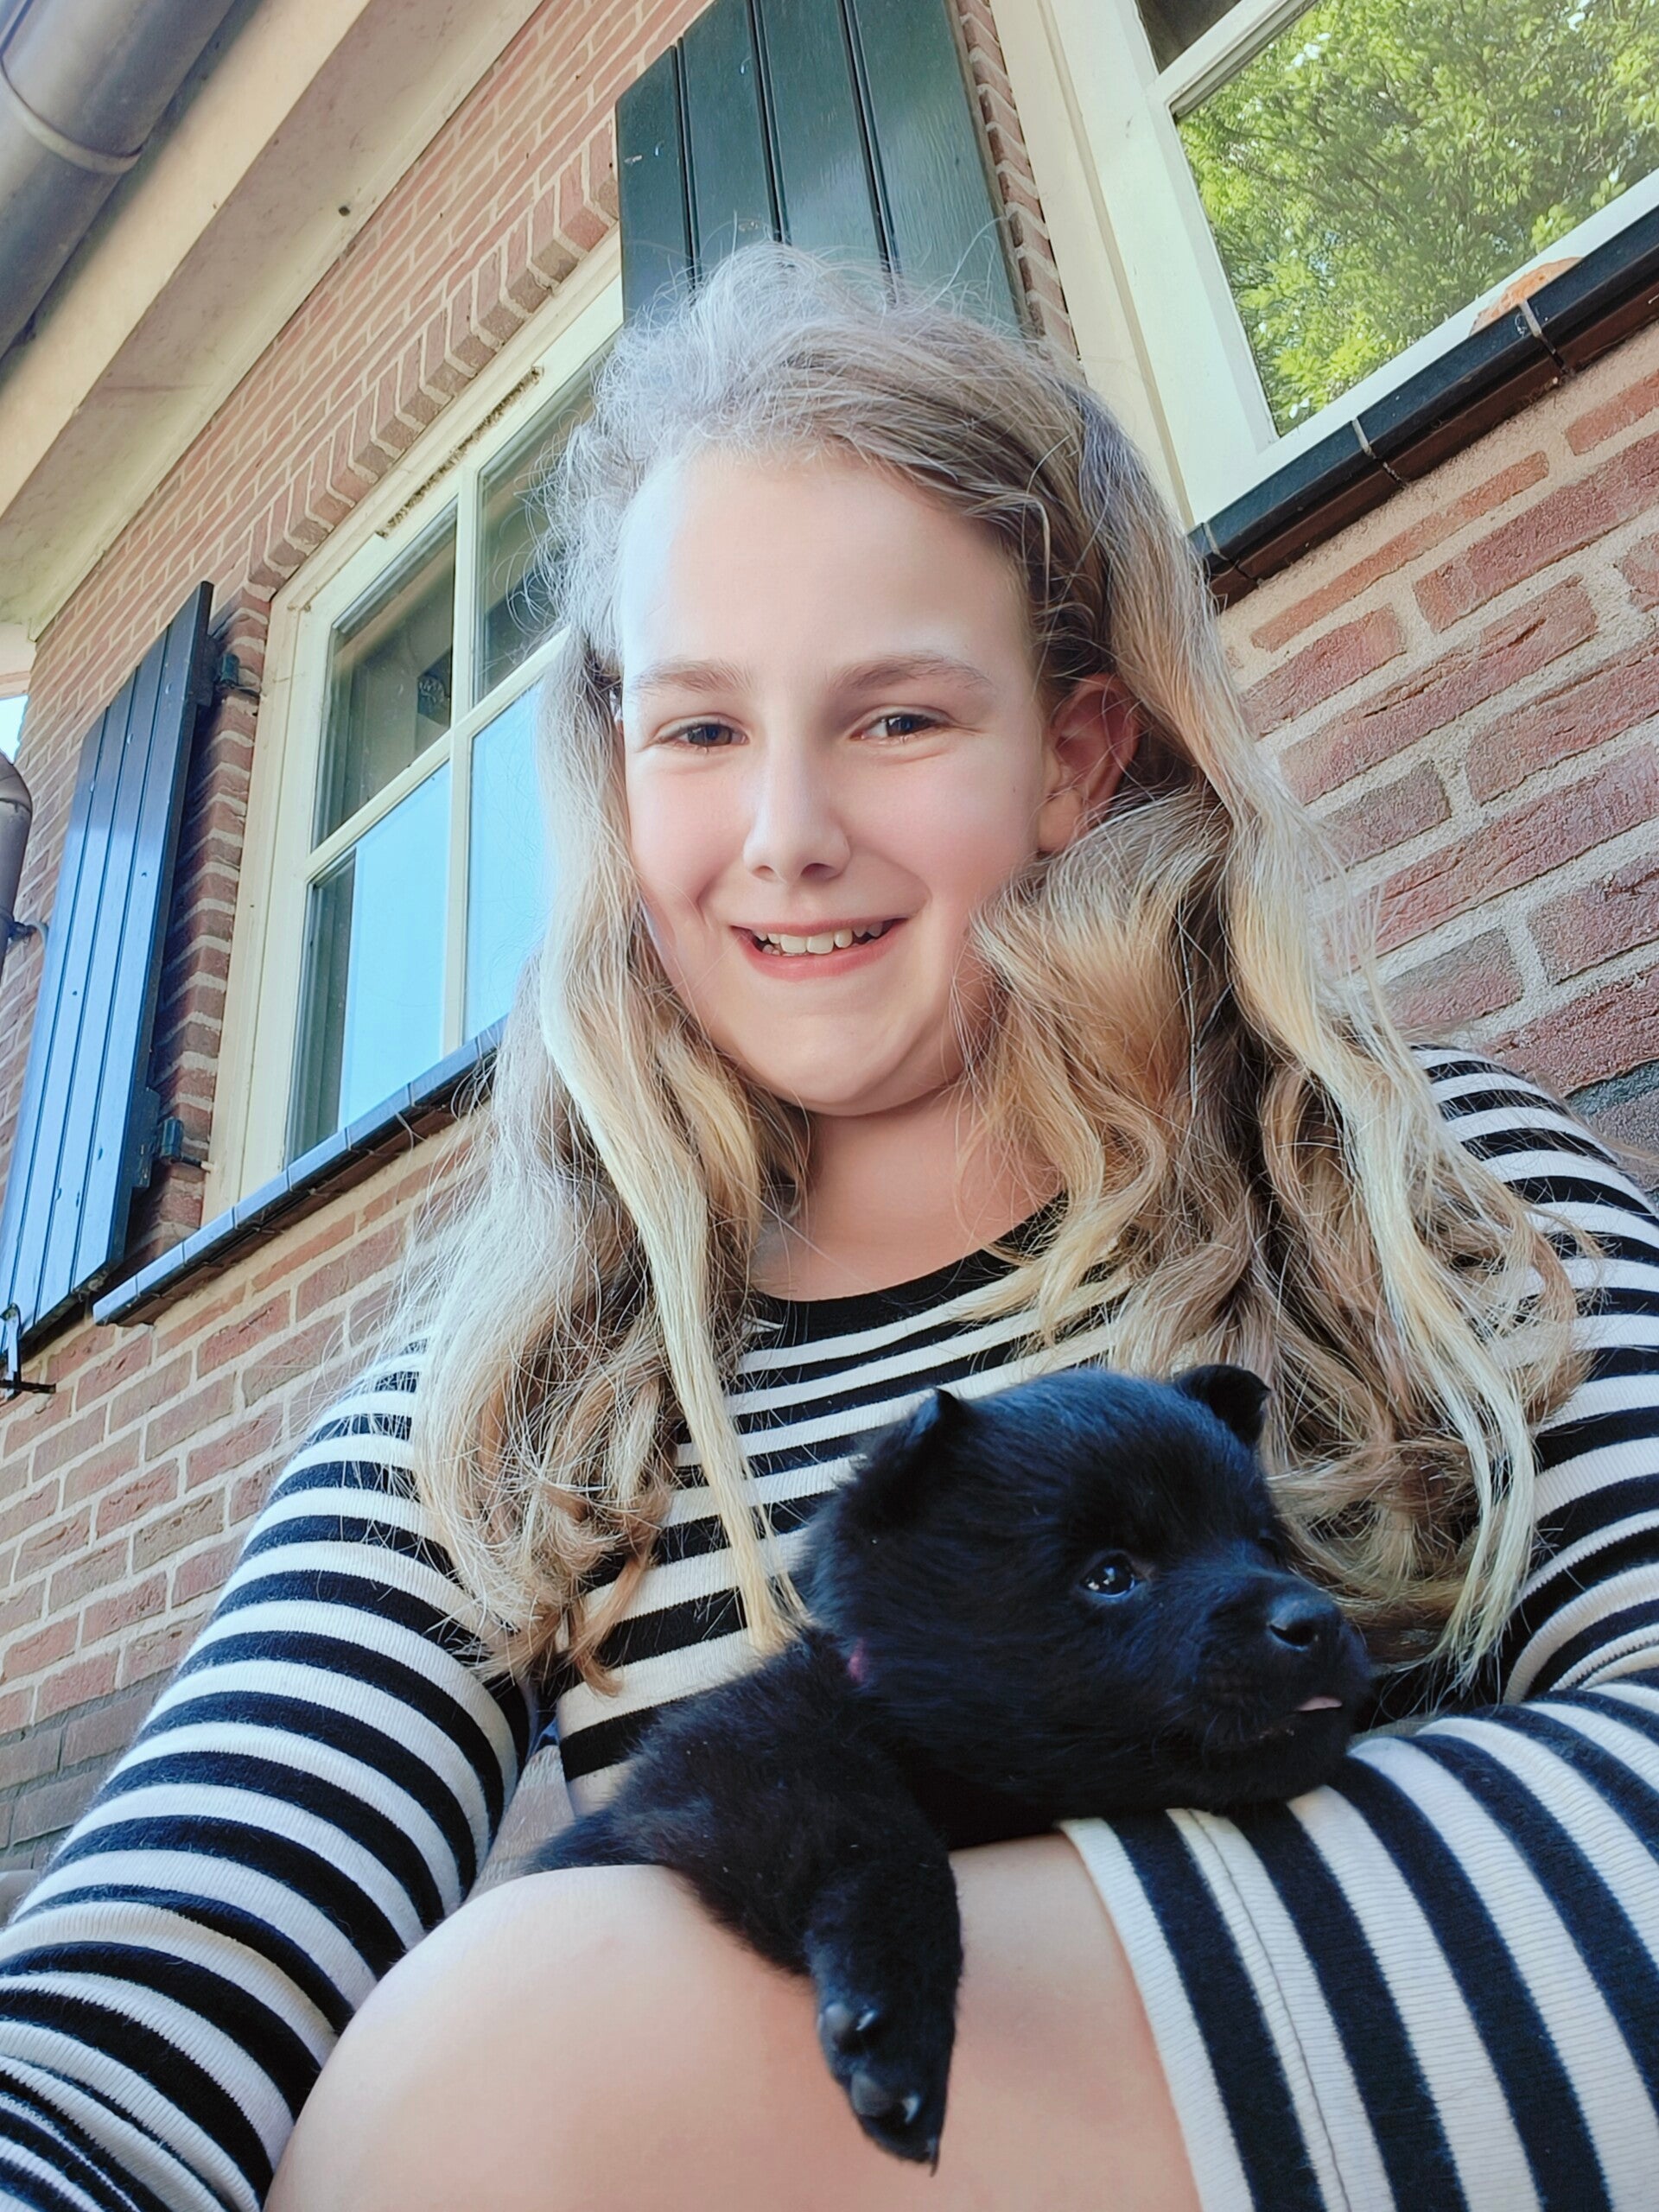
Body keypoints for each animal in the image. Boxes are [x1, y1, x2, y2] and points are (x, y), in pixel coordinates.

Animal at [530, 1364, 1372, 2167]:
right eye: (1109, 1576)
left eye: (1266, 1546)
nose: (1318, 1622)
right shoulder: (735, 1760)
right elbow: (880, 1838)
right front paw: (899, 2020)